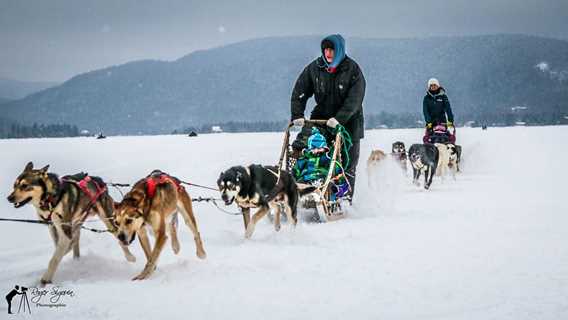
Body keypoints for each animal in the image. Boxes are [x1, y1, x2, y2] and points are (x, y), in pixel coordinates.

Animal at [5, 162, 135, 284]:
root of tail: (100, 181)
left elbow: (55, 258)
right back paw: (76, 259)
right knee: (76, 239)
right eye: (14, 185)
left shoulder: (64, 228)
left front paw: (46, 278)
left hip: (108, 220)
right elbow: (59, 246)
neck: (50, 198)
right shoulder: (53, 226)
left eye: (24, 186)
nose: (9, 198)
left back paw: (130, 257)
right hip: (77, 221)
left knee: (119, 238)